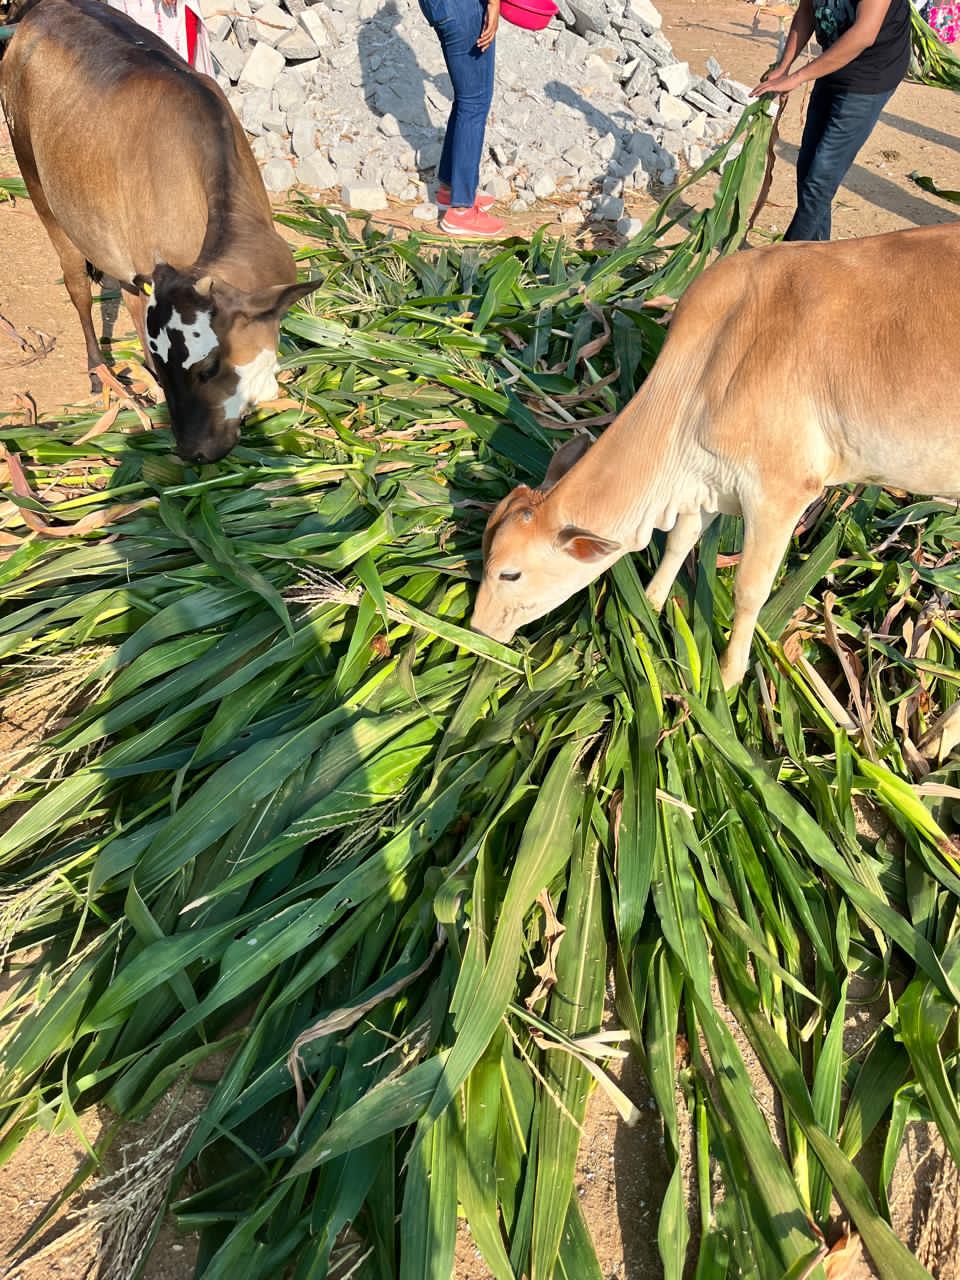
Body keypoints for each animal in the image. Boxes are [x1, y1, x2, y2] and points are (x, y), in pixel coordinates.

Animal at [0, 0, 319, 462]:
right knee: (77, 285)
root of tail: (39, 10)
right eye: (163, 366)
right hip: (34, 175)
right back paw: (98, 370)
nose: (192, 451)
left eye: (209, 367)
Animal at [470, 224, 960, 687]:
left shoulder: (779, 492)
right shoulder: (708, 481)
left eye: (510, 574)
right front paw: (650, 606)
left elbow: (749, 590)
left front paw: (727, 676)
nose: (475, 629)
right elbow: (679, 540)